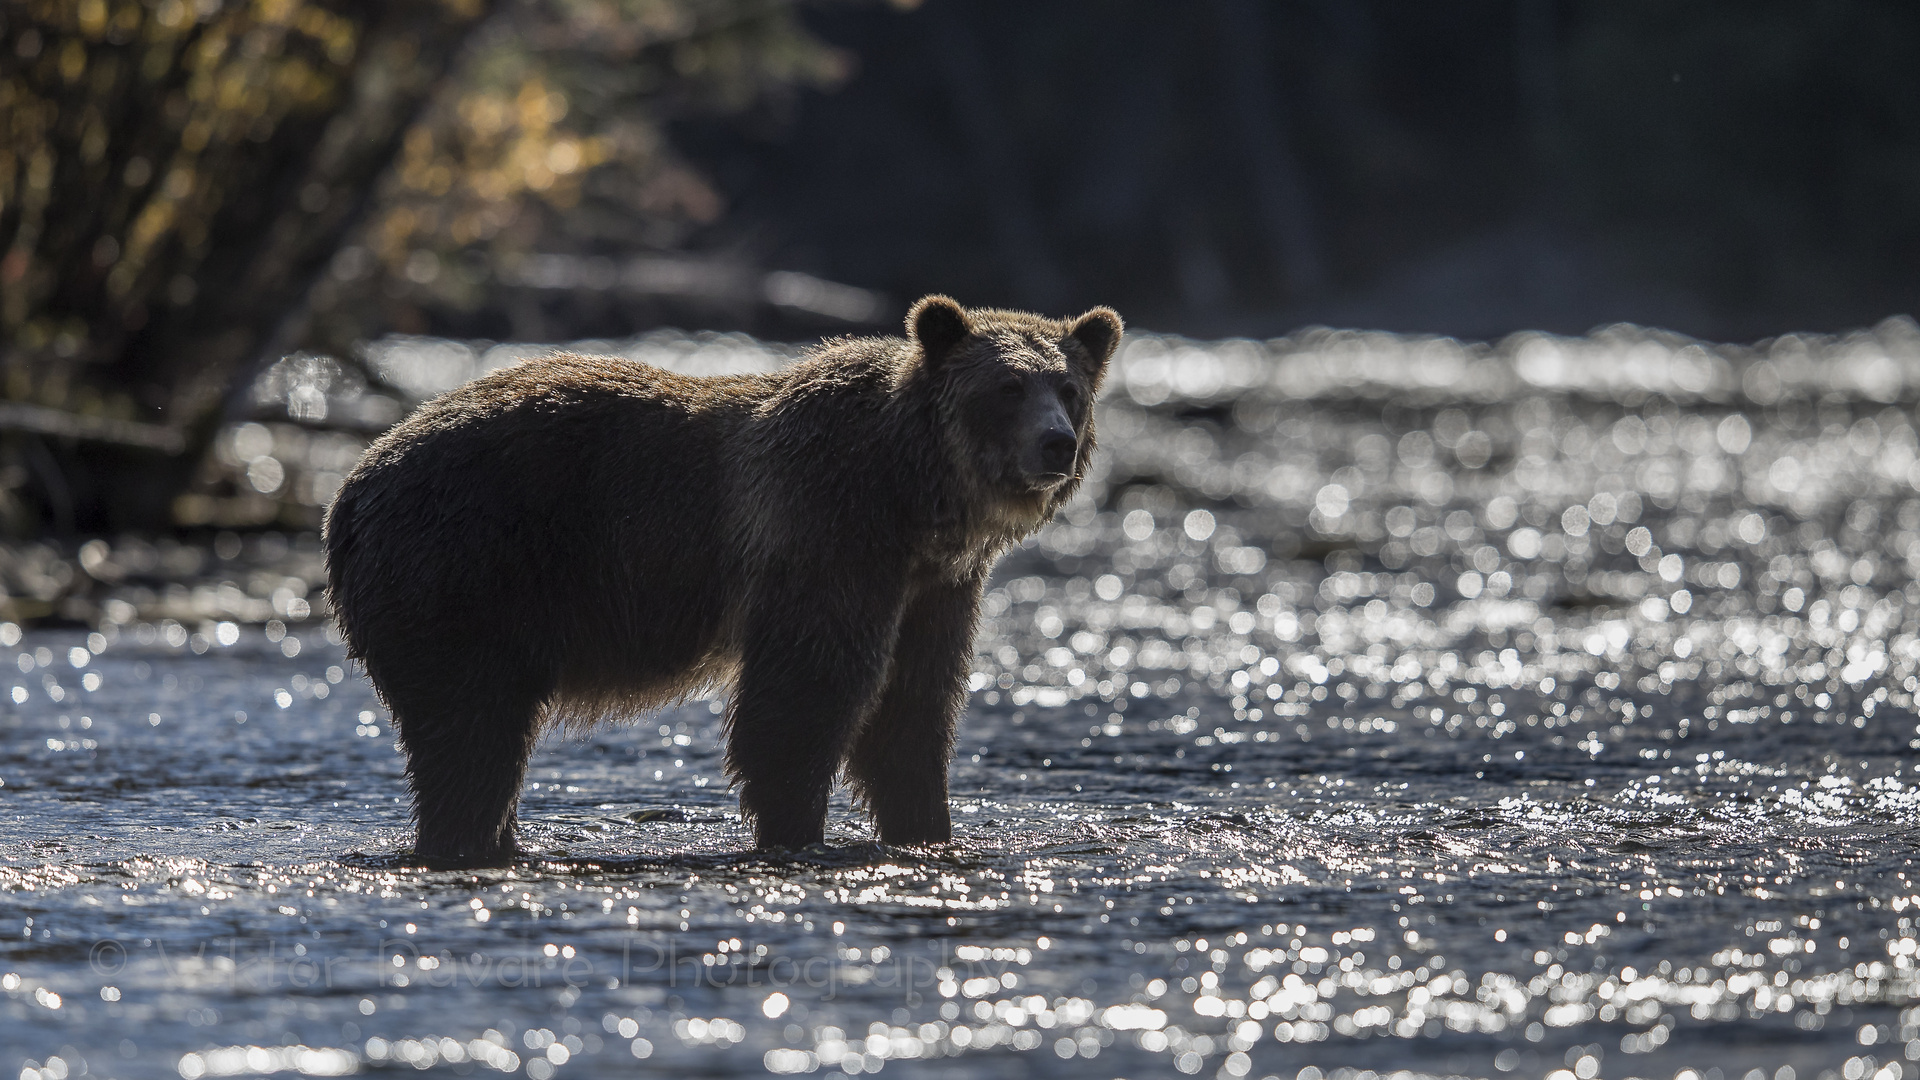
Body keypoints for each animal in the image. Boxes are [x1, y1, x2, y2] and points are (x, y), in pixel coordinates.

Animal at [322, 295, 1121, 864]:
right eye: (1008, 386)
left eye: (1068, 388)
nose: (1056, 444)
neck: (914, 497)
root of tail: (351, 492)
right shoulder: (829, 533)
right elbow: (807, 695)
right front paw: (795, 828)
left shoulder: (936, 585)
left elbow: (913, 706)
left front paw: (926, 827)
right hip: (463, 572)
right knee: (470, 733)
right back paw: (464, 839)